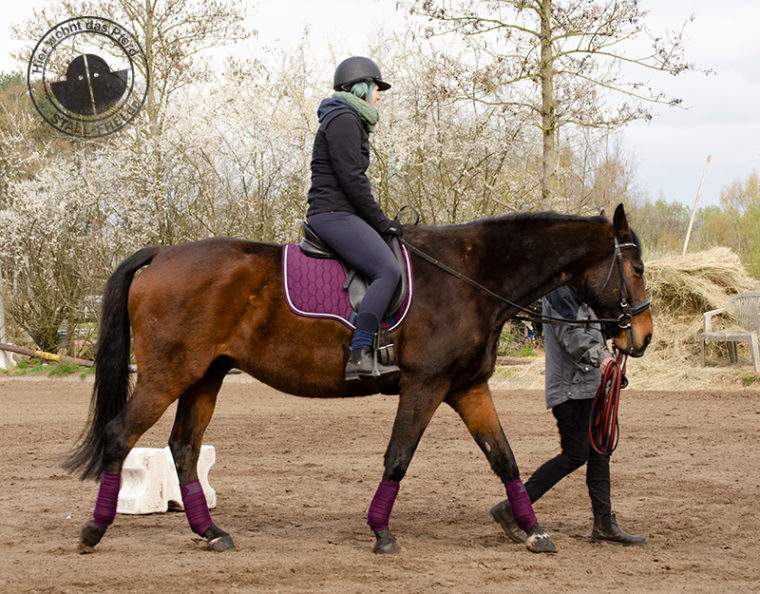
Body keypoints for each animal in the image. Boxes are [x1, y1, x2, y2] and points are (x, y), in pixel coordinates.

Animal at [63, 205, 652, 556]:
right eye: (639, 268)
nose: (641, 336)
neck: (471, 278)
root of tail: (162, 253)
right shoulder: (425, 386)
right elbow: (398, 457)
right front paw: (381, 531)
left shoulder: (467, 388)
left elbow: (503, 457)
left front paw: (531, 529)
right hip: (167, 375)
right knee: (120, 436)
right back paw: (94, 530)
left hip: (205, 378)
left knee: (184, 450)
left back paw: (211, 532)